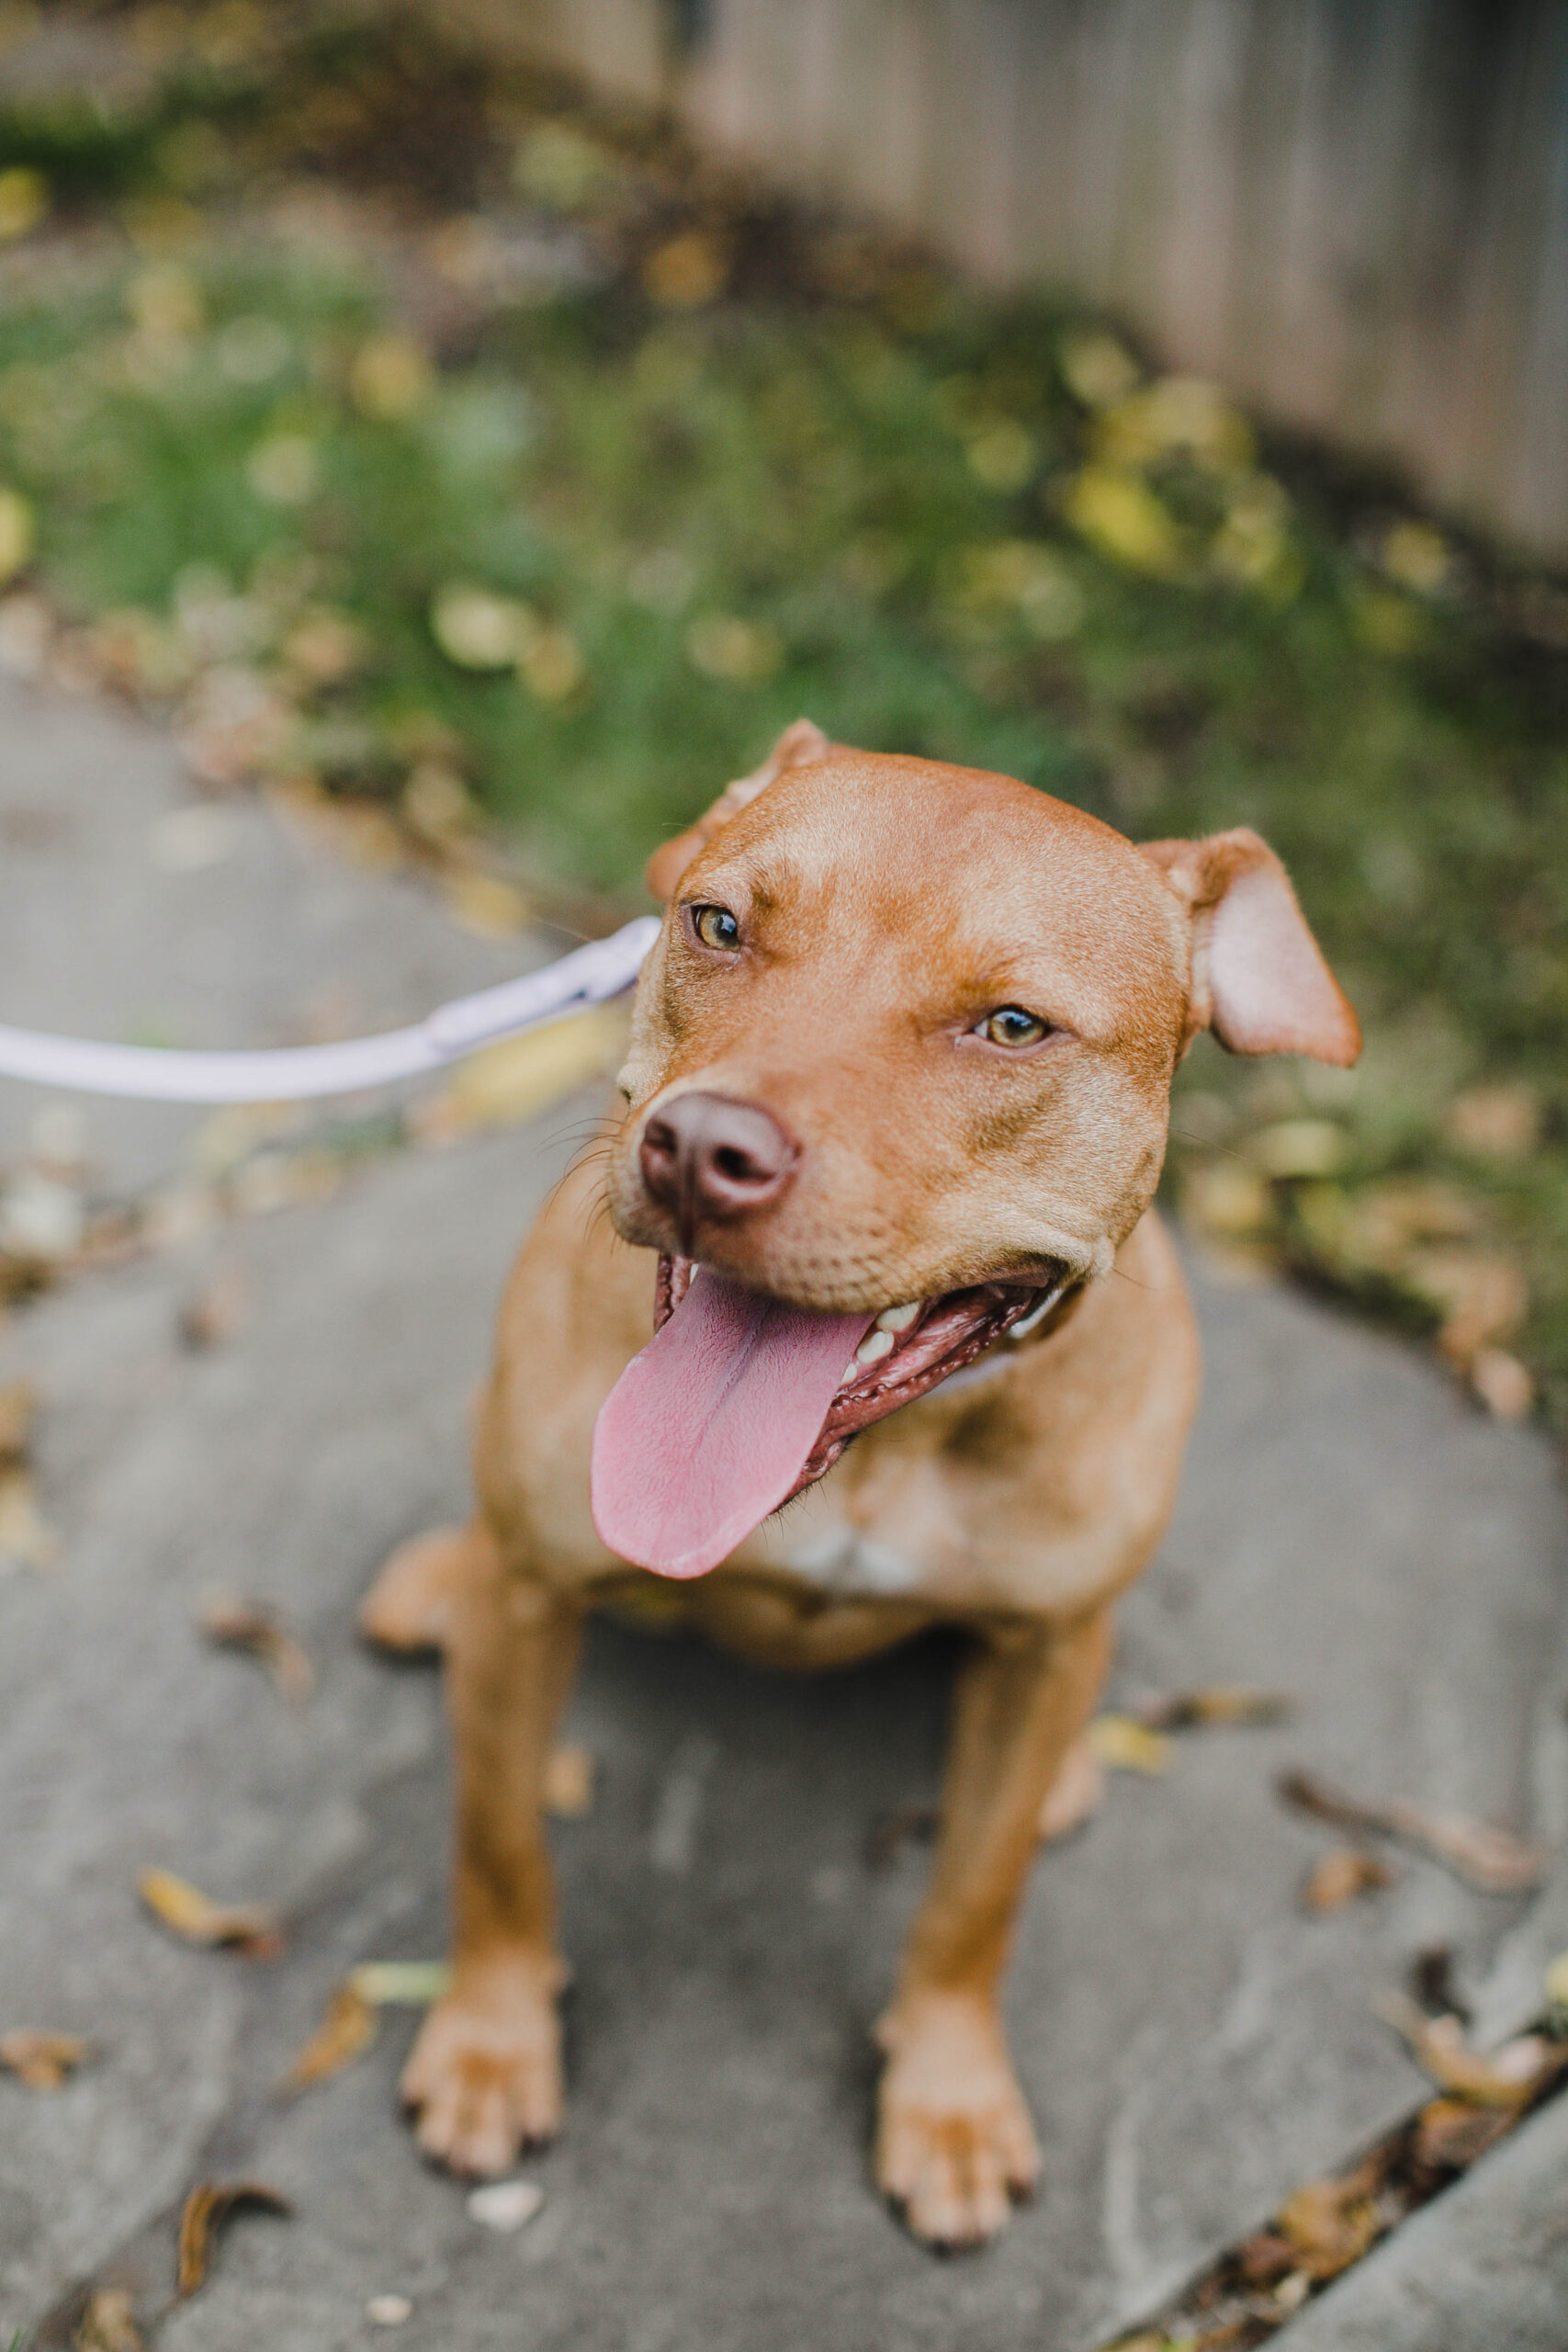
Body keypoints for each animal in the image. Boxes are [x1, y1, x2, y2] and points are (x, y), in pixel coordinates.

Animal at [359, 724, 1363, 2248]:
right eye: (717, 925)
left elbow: (972, 1900)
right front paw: (489, 2038)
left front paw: (946, 2099)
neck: (876, 1455)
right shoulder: (530, 1603)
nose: (703, 1152)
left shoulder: (1041, 1648)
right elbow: (498, 1839)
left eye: (1009, 1026)